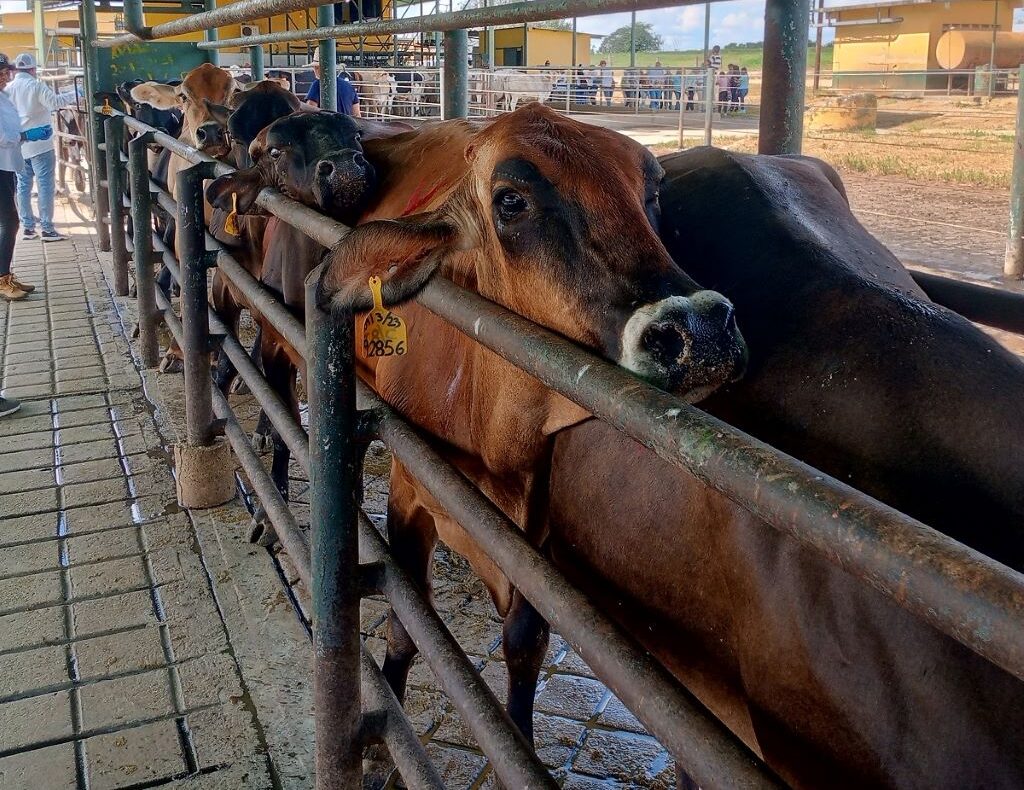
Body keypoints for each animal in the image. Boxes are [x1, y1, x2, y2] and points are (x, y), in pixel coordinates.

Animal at [315, 103, 749, 741]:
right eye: (511, 200)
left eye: (652, 192)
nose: (701, 330)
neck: (496, 439)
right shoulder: (408, 486)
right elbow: (405, 620)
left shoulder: (538, 534)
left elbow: (525, 644)